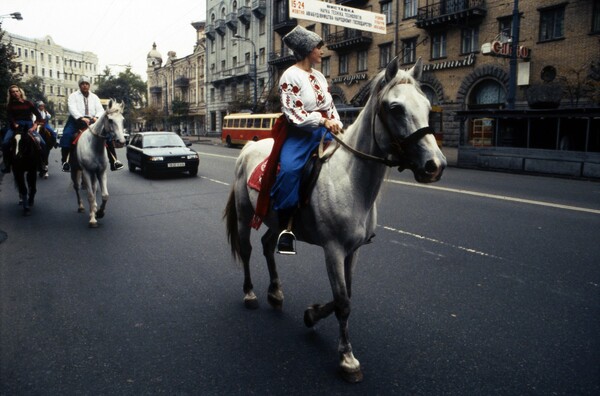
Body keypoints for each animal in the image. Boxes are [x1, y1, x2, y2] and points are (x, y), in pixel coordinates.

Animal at [224, 57, 446, 382]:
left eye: (428, 106)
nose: (435, 165)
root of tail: (249, 147)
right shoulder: (333, 250)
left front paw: (312, 314)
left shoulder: (353, 252)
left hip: (277, 221)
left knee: (266, 246)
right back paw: (250, 293)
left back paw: (275, 292)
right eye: (395, 108)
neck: (350, 179)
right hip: (244, 214)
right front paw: (347, 358)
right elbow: (343, 301)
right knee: (248, 249)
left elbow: (347, 296)